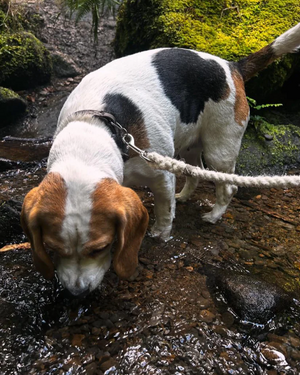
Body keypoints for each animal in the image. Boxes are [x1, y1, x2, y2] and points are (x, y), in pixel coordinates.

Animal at [21, 23, 300, 298]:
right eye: (52, 248)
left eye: (100, 248)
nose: (77, 293)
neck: (94, 127)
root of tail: (232, 66)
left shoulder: (161, 175)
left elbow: (164, 211)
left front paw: (160, 235)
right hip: (190, 144)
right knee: (195, 172)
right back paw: (185, 196)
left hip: (220, 148)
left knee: (228, 185)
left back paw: (214, 215)